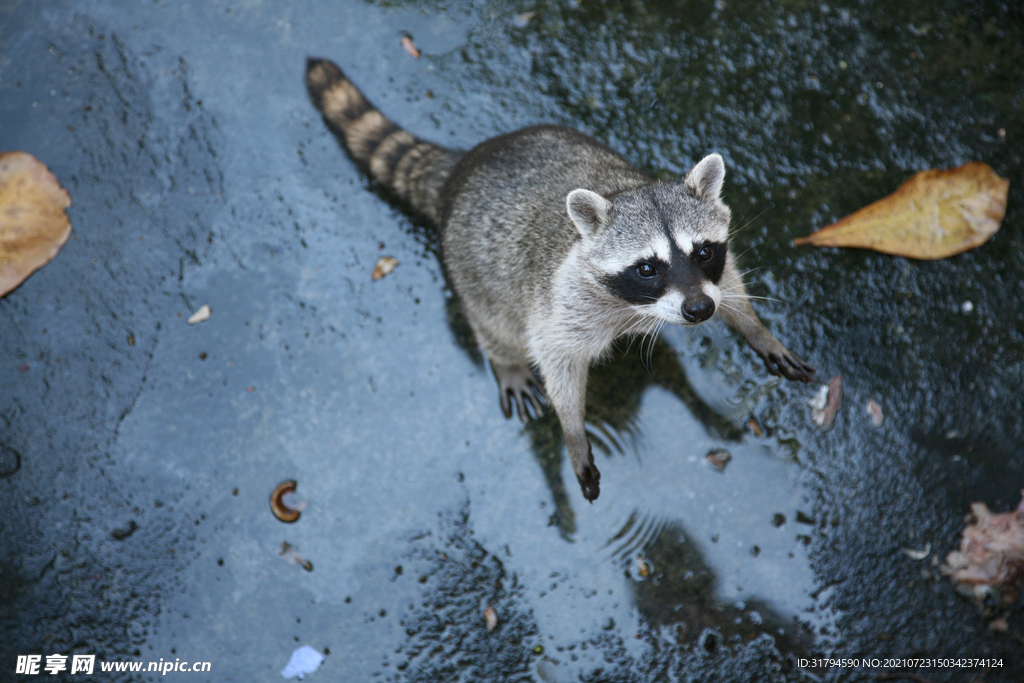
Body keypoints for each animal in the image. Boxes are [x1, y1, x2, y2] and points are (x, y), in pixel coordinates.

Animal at [303, 57, 815, 501]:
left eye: (703, 251)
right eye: (647, 267)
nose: (699, 311)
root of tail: (463, 167)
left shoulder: (707, 273)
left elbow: (728, 285)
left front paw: (754, 328)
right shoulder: (563, 298)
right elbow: (556, 357)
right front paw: (573, 429)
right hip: (470, 269)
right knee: (493, 322)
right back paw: (503, 357)